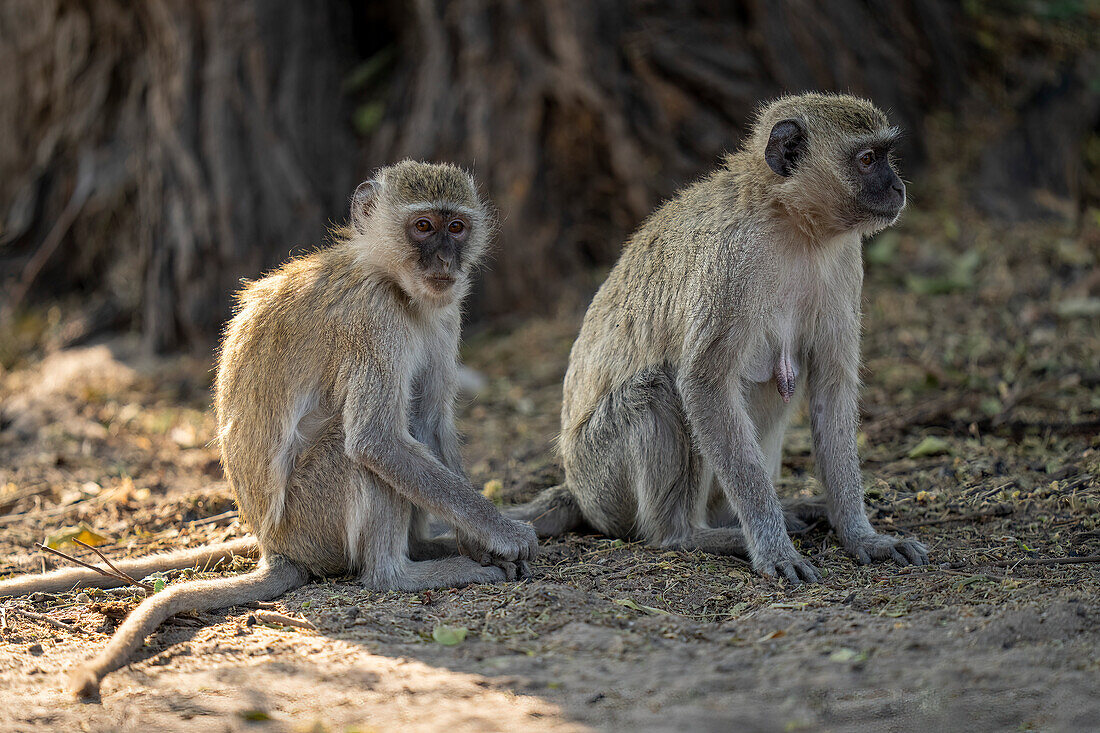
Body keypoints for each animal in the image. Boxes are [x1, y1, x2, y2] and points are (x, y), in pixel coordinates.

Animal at [508, 93, 928, 581]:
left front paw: (862, 536)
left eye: (885, 155)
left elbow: (831, 387)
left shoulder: (844, 261)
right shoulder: (730, 265)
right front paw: (774, 549)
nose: (898, 188)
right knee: (658, 390)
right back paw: (689, 535)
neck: (792, 223)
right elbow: (704, 385)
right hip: (602, 480)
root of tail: (576, 488)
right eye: (867, 160)